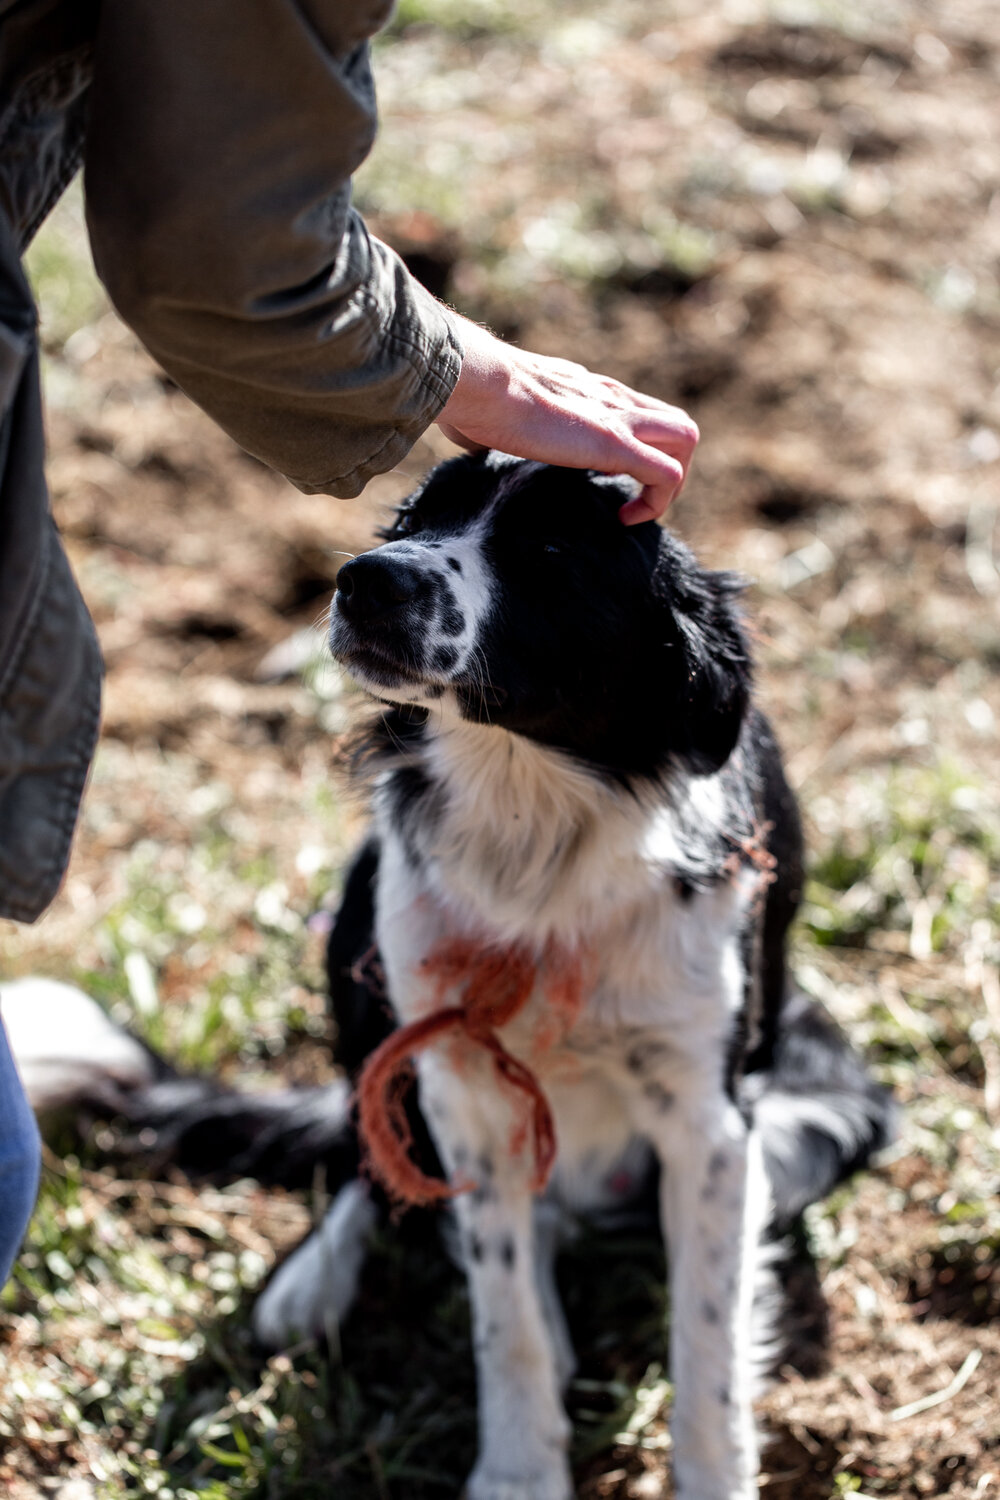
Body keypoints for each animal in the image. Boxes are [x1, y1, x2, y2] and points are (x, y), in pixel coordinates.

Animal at [9, 453, 893, 1500]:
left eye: (550, 548)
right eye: (414, 519)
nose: (365, 578)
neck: (533, 808)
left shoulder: (712, 1122)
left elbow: (707, 1341)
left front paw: (711, 1476)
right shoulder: (462, 1083)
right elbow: (501, 1318)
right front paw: (518, 1471)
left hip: (826, 1108)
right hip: (363, 927)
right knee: (377, 1146)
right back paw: (317, 1282)